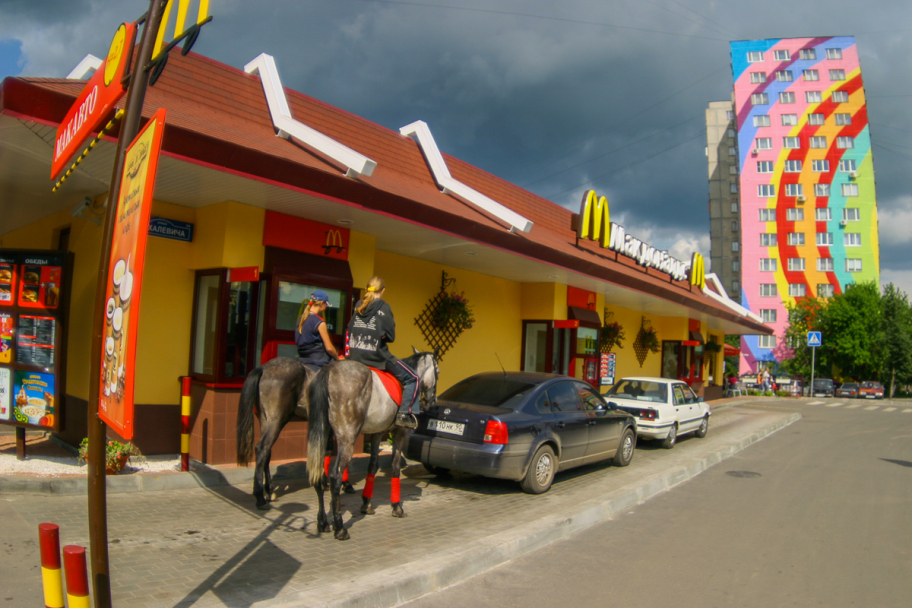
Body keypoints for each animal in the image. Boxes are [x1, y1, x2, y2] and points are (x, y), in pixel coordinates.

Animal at [308, 350, 440, 540]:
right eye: (438, 372)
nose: (433, 401)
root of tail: (328, 371)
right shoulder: (399, 432)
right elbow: (395, 466)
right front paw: (397, 507)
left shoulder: (378, 432)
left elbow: (372, 466)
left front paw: (366, 503)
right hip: (347, 438)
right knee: (335, 477)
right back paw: (340, 527)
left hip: (323, 435)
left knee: (319, 474)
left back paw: (323, 522)